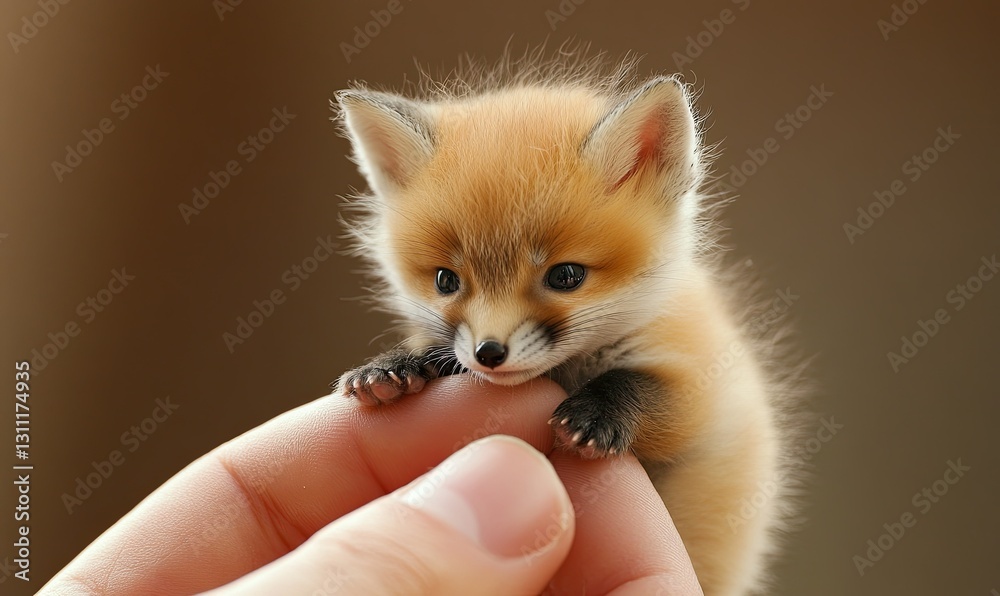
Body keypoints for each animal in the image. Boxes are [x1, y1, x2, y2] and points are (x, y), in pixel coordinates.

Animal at [331, 51, 805, 595]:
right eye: (446, 281)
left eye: (565, 276)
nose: (489, 354)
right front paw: (395, 366)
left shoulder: (712, 388)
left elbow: (640, 385)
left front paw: (595, 413)